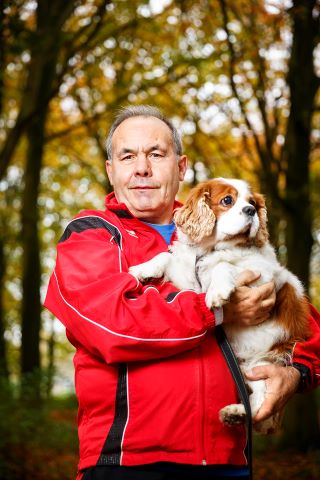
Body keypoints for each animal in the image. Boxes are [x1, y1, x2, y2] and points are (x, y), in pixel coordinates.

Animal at [129, 178, 310, 434]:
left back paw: (237, 413)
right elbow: (167, 257)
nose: (251, 210)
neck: (213, 248)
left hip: (266, 361)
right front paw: (142, 269)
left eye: (252, 202)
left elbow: (223, 265)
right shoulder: (189, 280)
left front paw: (217, 292)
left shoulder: (265, 277)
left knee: (262, 398)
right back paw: (236, 413)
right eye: (227, 200)